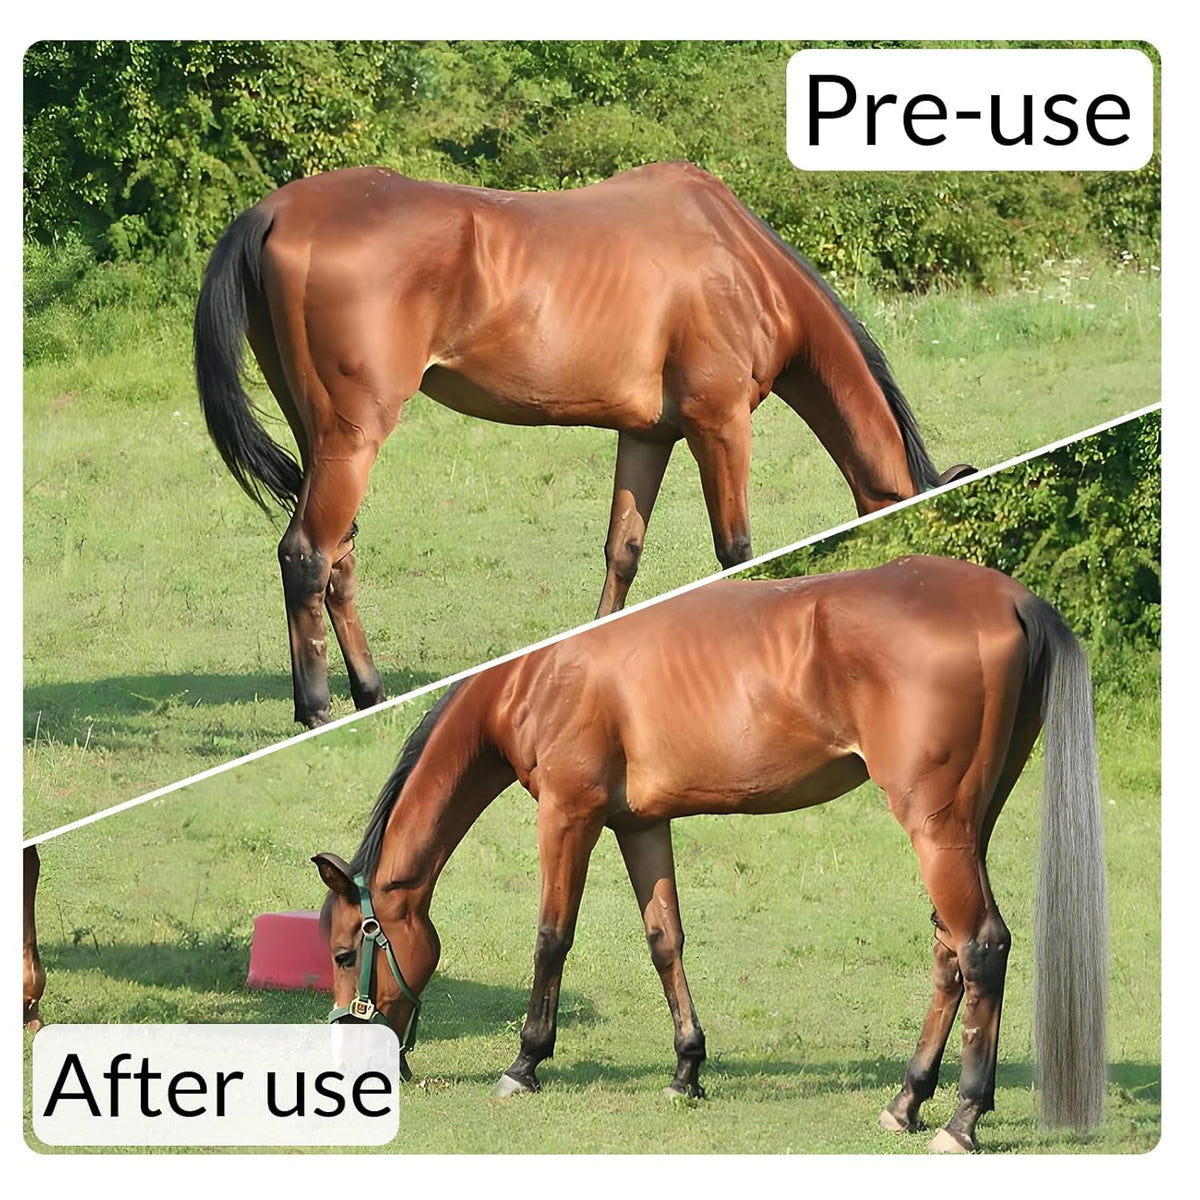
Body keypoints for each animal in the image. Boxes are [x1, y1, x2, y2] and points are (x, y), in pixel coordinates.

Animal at [195, 162, 974, 729]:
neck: (738, 260)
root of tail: (274, 212)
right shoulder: (719, 424)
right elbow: (736, 550)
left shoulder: (647, 434)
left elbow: (622, 552)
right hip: (353, 438)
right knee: (307, 555)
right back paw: (316, 709)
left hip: (323, 438)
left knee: (340, 558)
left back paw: (371, 692)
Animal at [312, 555, 1107, 1153]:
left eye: (347, 951)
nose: (352, 1067)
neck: (538, 673)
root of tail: (1010, 599)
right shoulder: (639, 823)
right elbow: (665, 939)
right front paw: (686, 1070)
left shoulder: (569, 814)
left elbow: (551, 937)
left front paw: (525, 1062)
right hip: (968, 825)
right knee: (949, 953)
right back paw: (905, 1102)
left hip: (936, 827)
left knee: (981, 947)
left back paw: (962, 1119)